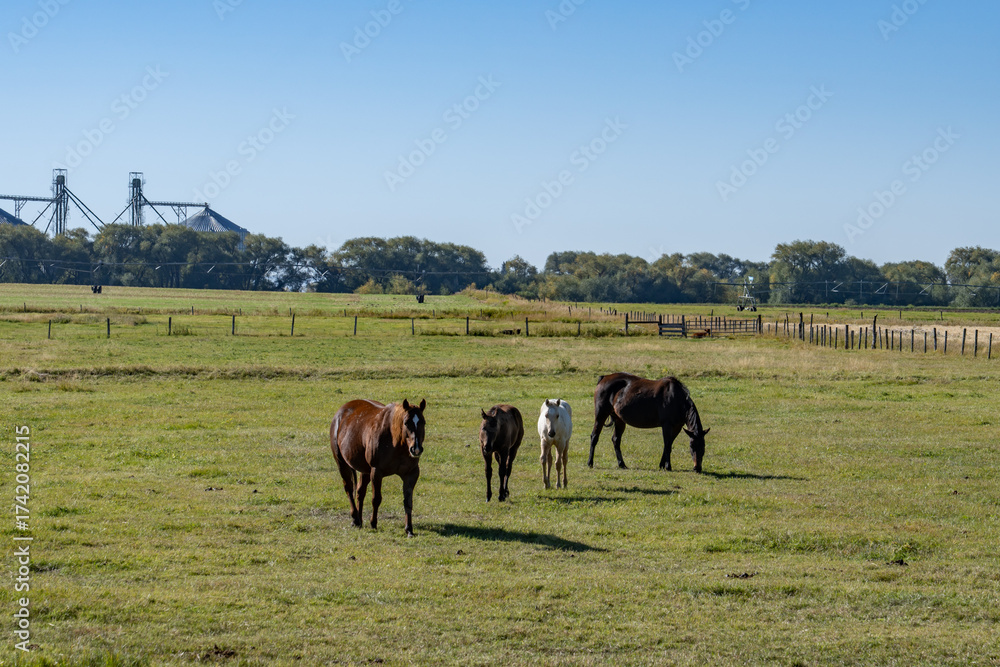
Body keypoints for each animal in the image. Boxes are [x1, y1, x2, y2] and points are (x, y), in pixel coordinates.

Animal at [330, 398, 426, 536]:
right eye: (407, 423)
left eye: (423, 422)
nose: (416, 449)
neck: (396, 441)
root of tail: (341, 412)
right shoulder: (376, 472)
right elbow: (376, 499)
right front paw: (373, 523)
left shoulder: (411, 474)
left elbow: (408, 501)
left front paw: (409, 529)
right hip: (342, 463)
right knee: (349, 489)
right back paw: (355, 518)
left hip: (365, 470)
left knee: (360, 492)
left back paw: (359, 520)